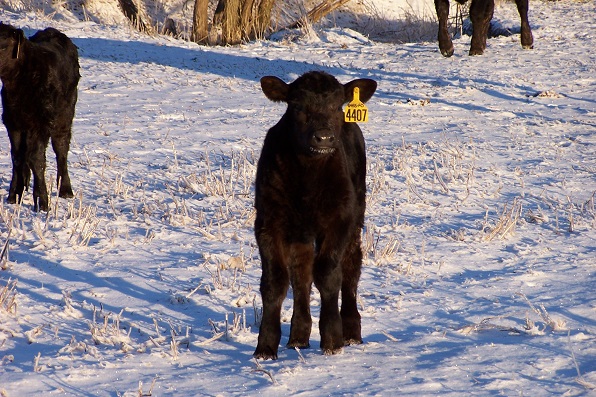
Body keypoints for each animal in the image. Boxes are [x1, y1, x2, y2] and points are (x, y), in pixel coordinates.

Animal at [0, 22, 79, 210]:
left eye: (4, 46)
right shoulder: (12, 121)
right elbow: (17, 157)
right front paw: (14, 195)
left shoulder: (42, 122)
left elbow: (37, 159)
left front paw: (42, 202)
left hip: (64, 117)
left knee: (61, 148)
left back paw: (65, 190)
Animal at [253, 71, 374, 358]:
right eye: (297, 106)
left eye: (337, 106)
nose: (324, 138)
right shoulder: (267, 222)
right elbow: (275, 281)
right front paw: (265, 346)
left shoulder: (339, 219)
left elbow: (328, 274)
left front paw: (332, 338)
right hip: (300, 233)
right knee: (301, 273)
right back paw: (298, 336)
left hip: (357, 214)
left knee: (350, 266)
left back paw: (351, 331)